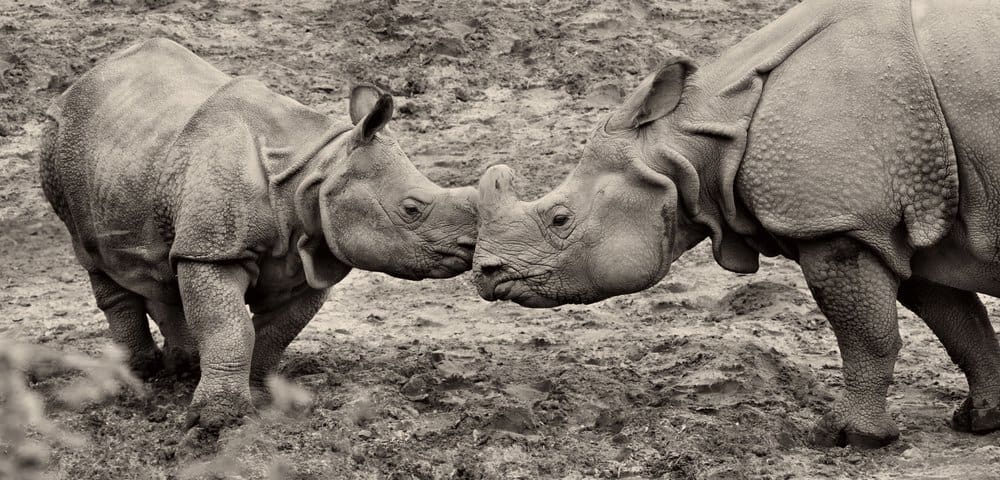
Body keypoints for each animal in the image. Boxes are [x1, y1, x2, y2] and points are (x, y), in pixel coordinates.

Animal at [40, 38, 478, 431]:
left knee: (166, 262)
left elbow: (274, 333)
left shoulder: (307, 258)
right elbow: (231, 327)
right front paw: (217, 420)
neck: (317, 171)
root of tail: (80, 83)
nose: (470, 246)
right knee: (92, 255)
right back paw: (137, 376)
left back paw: (184, 366)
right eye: (411, 208)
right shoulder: (214, 247)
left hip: (140, 157)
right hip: (58, 147)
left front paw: (257, 398)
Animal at [472, 0, 1000, 448]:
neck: (699, 134)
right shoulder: (897, 223)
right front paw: (982, 420)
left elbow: (867, 336)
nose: (485, 274)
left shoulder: (839, 222)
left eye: (560, 218)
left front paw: (848, 438)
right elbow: (960, 324)